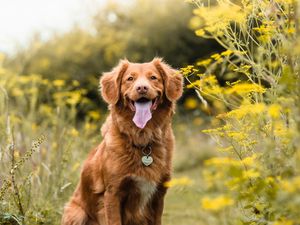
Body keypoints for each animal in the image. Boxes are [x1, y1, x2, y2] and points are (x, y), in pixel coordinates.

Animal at [61, 58, 183, 225]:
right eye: (130, 79)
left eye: (153, 78)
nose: (142, 88)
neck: (143, 139)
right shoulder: (113, 193)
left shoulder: (159, 194)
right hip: (76, 213)